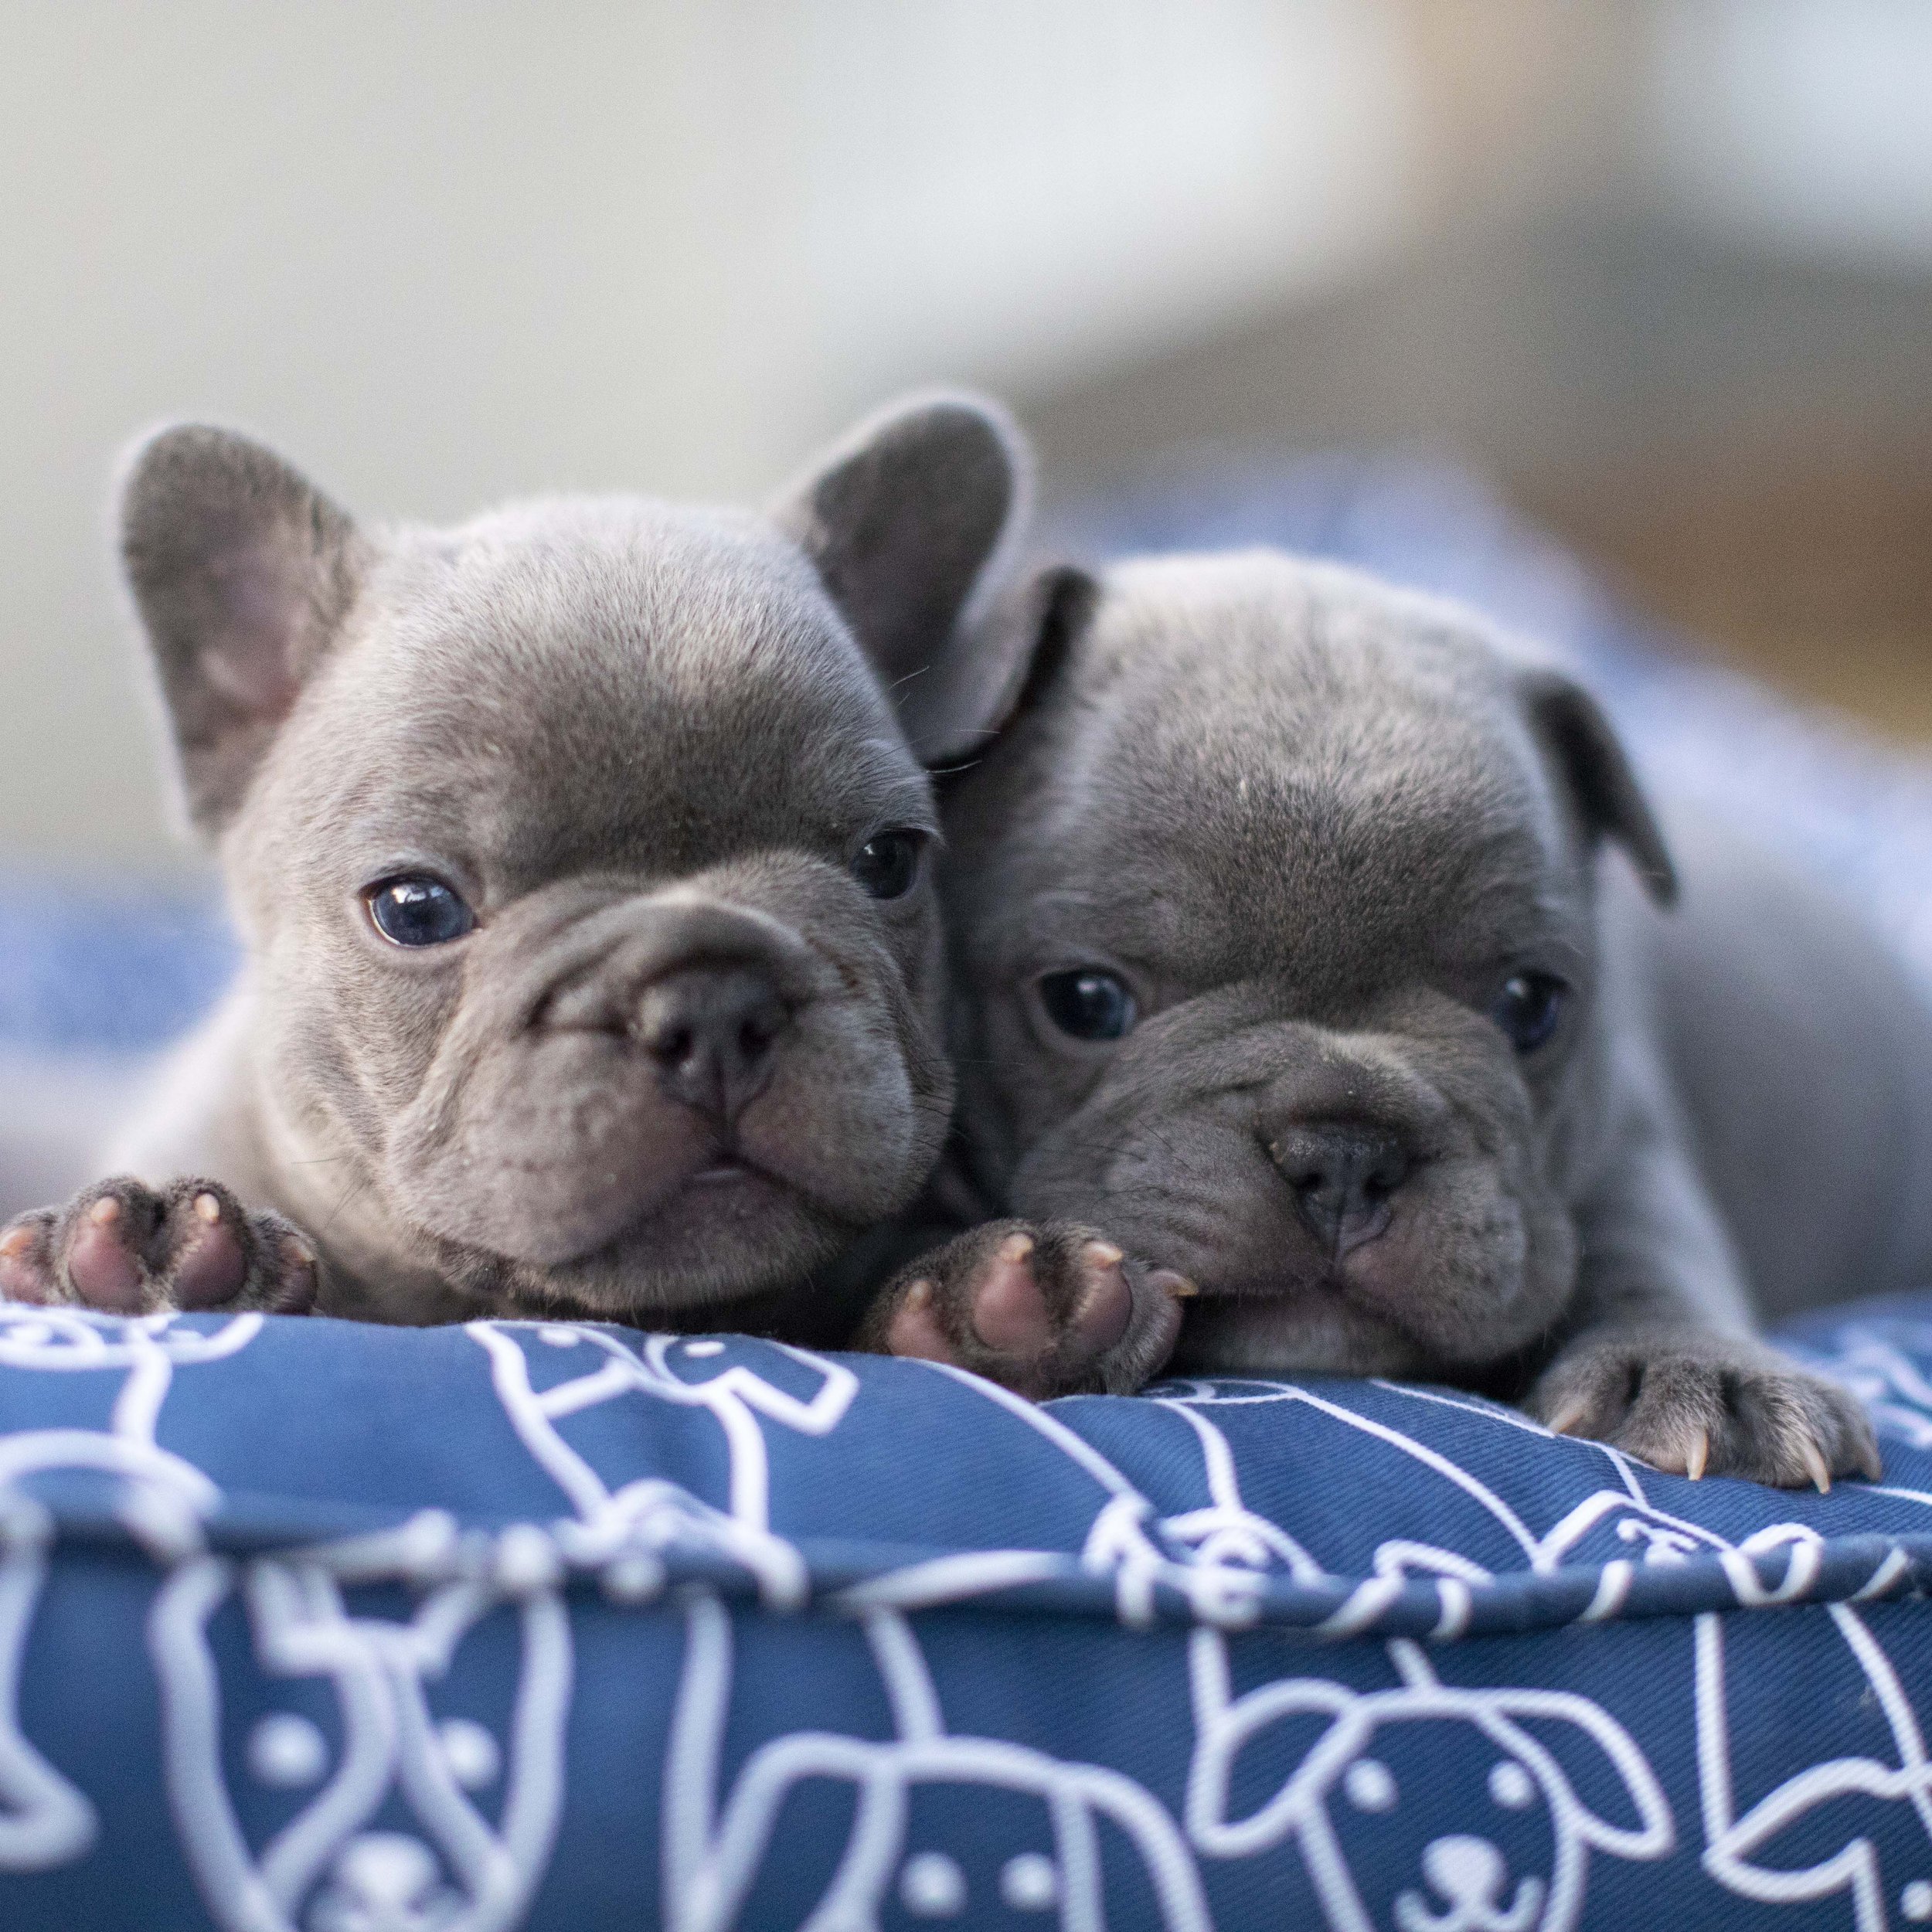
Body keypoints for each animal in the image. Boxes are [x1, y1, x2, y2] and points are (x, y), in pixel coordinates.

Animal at [877, 553, 1932, 1484]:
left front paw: (1700, 1367)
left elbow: (1648, 1244)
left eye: (1530, 1004)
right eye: (1084, 1001)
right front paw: (1003, 1303)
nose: (1346, 1150)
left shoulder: (1625, 1132)